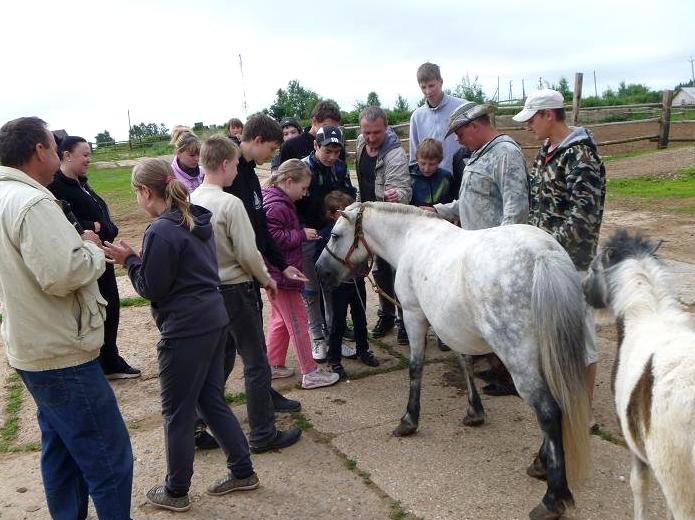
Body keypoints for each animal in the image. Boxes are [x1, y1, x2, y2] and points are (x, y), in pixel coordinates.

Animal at [318, 202, 588, 520]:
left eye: (335, 235)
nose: (320, 272)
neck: (411, 238)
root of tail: (544, 254)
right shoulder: (453, 327)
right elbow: (465, 362)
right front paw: (474, 412)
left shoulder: (414, 316)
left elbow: (415, 368)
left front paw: (409, 420)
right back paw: (541, 463)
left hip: (520, 359)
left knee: (547, 411)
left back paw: (552, 497)